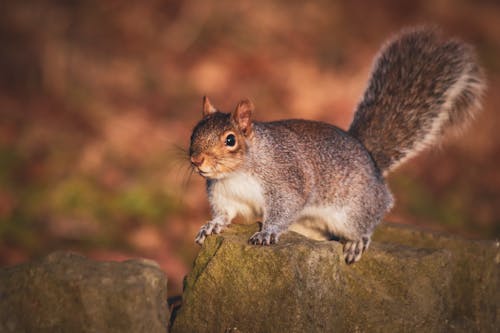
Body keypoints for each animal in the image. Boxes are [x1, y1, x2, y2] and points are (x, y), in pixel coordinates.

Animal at [188, 27, 484, 264]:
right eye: (193, 132)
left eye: (230, 140)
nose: (196, 160)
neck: (237, 173)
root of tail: (371, 161)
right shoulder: (224, 195)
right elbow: (225, 214)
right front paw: (211, 226)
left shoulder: (286, 180)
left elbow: (285, 208)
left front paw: (267, 232)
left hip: (355, 208)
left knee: (370, 219)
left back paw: (356, 241)